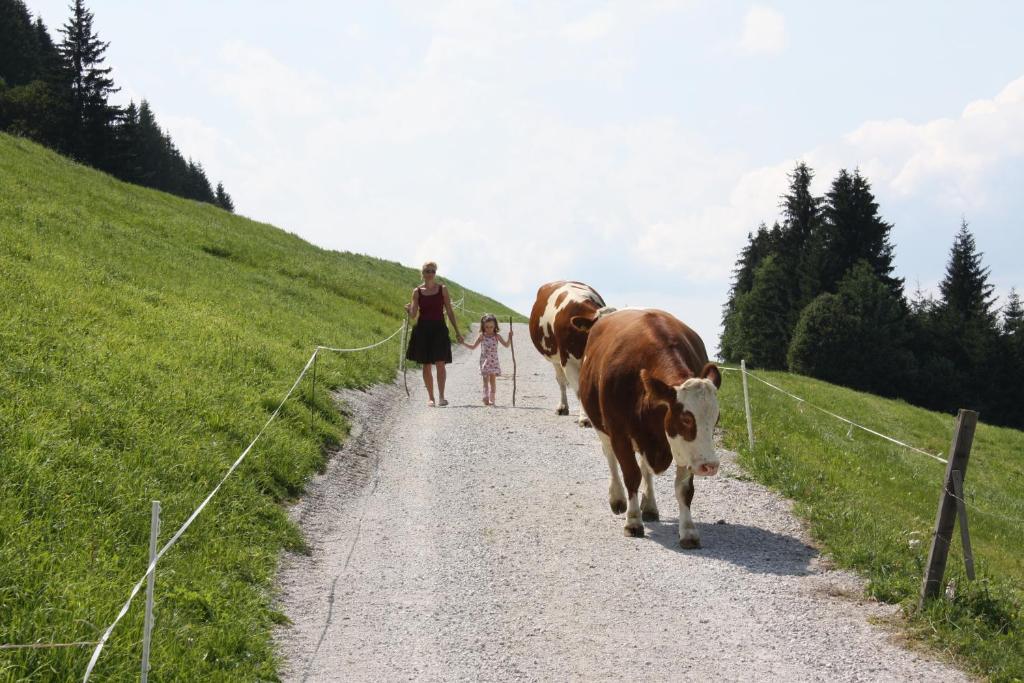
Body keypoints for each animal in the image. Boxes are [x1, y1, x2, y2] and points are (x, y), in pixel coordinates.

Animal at [528, 280, 614, 423]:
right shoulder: (568, 361)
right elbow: (579, 390)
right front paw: (585, 418)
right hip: (555, 358)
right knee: (561, 381)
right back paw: (562, 407)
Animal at [577, 309, 720, 548]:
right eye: (686, 418)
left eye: (716, 418)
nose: (710, 466)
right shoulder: (619, 434)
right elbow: (631, 475)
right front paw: (633, 521)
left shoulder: (680, 447)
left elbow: (684, 489)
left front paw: (688, 531)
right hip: (602, 427)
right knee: (611, 458)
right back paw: (617, 498)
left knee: (645, 467)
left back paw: (651, 505)